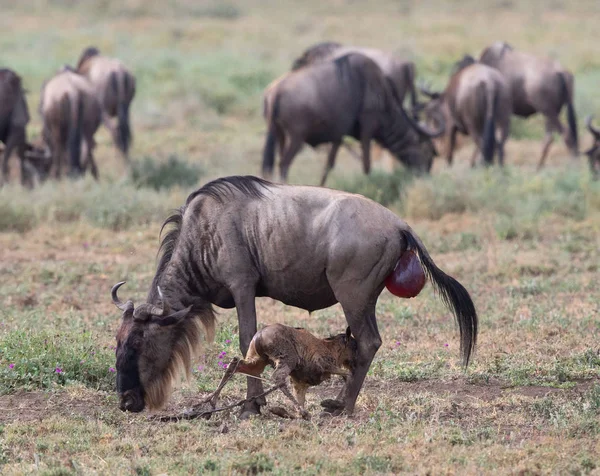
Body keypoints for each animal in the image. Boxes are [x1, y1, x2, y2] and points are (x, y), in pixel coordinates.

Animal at [209, 324, 356, 420]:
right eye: (354, 346)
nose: (355, 362)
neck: (331, 347)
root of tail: (259, 336)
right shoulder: (324, 365)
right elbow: (348, 376)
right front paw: (335, 404)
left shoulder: (300, 383)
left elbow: (297, 406)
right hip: (287, 359)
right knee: (277, 378)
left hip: (257, 362)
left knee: (235, 364)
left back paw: (211, 403)